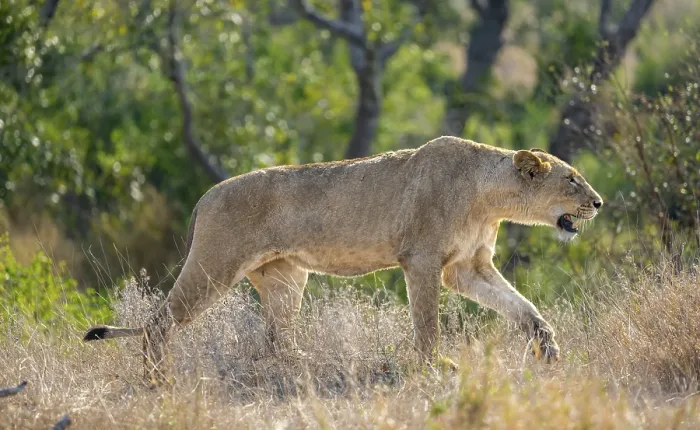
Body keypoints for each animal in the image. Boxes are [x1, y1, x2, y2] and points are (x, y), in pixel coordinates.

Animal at [84, 136, 603, 376]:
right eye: (572, 179)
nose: (598, 202)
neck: (489, 198)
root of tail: (204, 196)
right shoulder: (422, 259)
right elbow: (427, 324)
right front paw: (436, 367)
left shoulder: (466, 268)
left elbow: (521, 305)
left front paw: (547, 346)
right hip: (215, 265)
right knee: (158, 323)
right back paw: (158, 380)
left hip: (285, 278)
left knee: (276, 339)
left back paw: (302, 363)